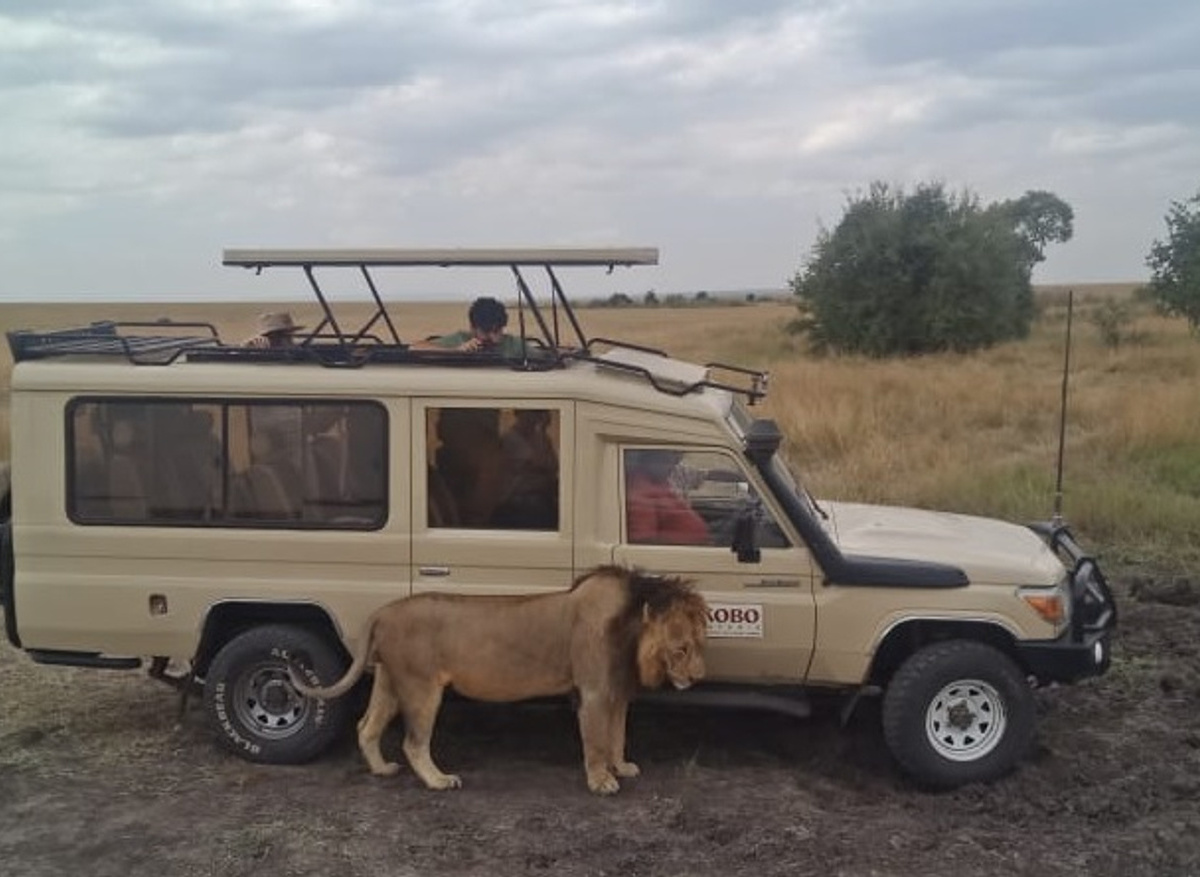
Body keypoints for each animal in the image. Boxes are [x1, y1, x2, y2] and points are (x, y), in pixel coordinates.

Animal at [288, 565, 707, 795]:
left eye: (700, 642)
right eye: (682, 648)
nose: (699, 677)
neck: (630, 633)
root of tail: (383, 611)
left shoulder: (616, 694)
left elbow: (617, 736)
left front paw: (621, 767)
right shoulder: (593, 693)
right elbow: (596, 742)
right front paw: (601, 781)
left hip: (390, 680)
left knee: (366, 726)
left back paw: (381, 769)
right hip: (421, 686)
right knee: (413, 742)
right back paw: (438, 781)